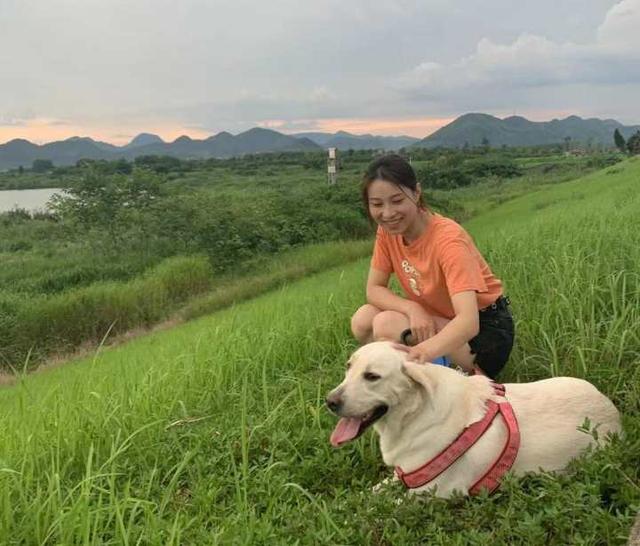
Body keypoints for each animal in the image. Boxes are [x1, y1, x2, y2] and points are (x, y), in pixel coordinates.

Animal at [328, 340, 624, 498]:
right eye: (348, 367)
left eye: (372, 376)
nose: (329, 402)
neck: (414, 414)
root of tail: (615, 415)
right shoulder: (405, 474)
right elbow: (371, 493)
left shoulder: (428, 494)